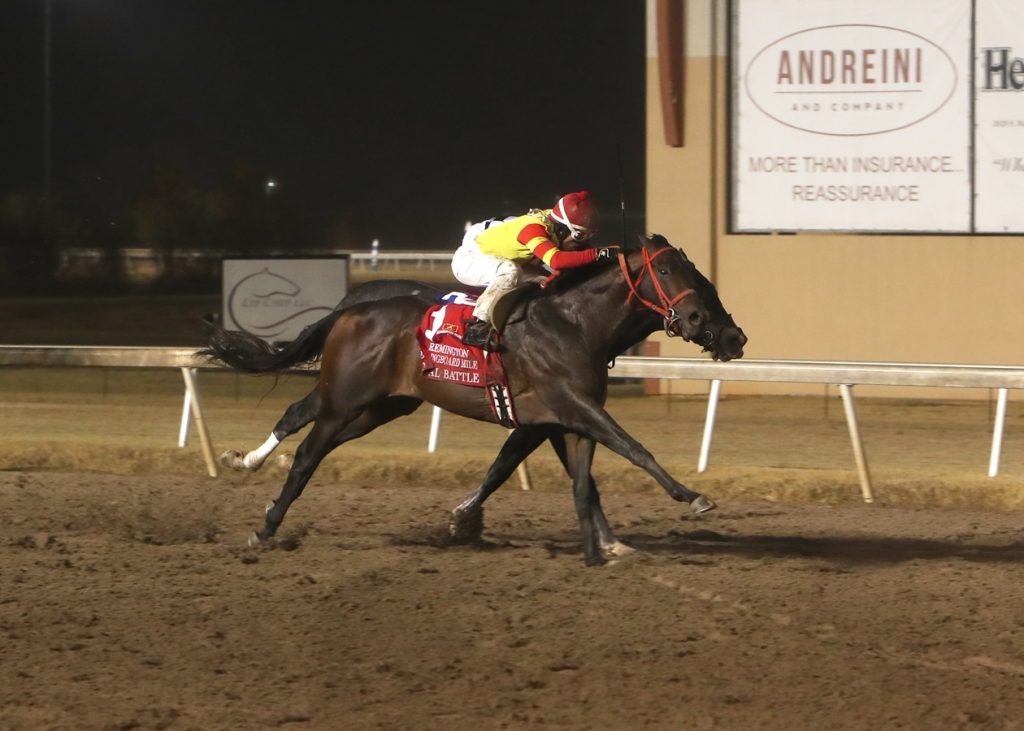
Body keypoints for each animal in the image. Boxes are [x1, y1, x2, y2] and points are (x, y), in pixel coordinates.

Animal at [199, 233, 745, 565]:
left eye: (698, 273)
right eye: (670, 272)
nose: (729, 335)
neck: (574, 323)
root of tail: (349, 311)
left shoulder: (559, 419)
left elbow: (577, 481)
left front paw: (605, 547)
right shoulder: (573, 406)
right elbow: (634, 449)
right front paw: (692, 496)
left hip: (381, 405)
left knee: (301, 421)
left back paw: (246, 465)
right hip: (344, 401)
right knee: (307, 454)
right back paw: (265, 525)